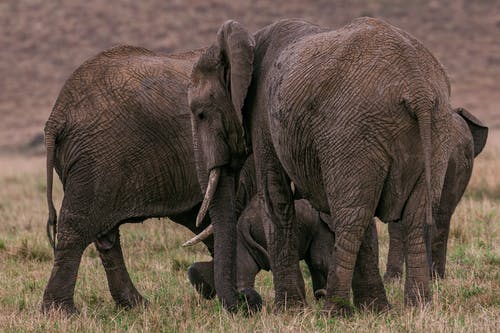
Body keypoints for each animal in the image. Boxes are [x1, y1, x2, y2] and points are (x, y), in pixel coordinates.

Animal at [188, 18, 464, 314]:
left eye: (200, 114)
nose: (247, 301)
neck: (248, 43)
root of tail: (417, 90)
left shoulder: (263, 116)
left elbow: (275, 195)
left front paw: (289, 310)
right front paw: (374, 310)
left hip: (355, 130)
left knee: (352, 218)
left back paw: (335, 310)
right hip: (435, 127)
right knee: (410, 216)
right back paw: (417, 307)